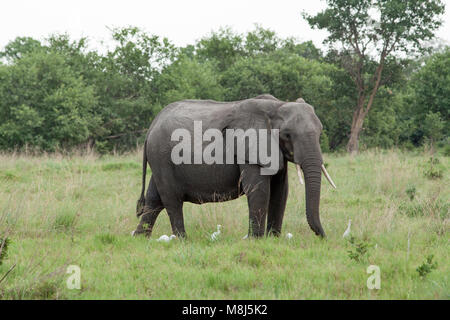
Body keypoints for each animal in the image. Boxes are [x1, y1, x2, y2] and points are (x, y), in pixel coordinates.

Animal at [132, 94, 336, 239]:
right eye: (287, 134)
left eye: (320, 133)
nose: (323, 237)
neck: (277, 105)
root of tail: (152, 126)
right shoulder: (250, 150)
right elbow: (259, 189)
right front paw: (256, 240)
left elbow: (281, 190)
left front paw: (273, 239)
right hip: (162, 156)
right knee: (171, 199)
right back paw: (182, 240)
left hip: (160, 159)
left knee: (154, 198)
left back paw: (140, 238)